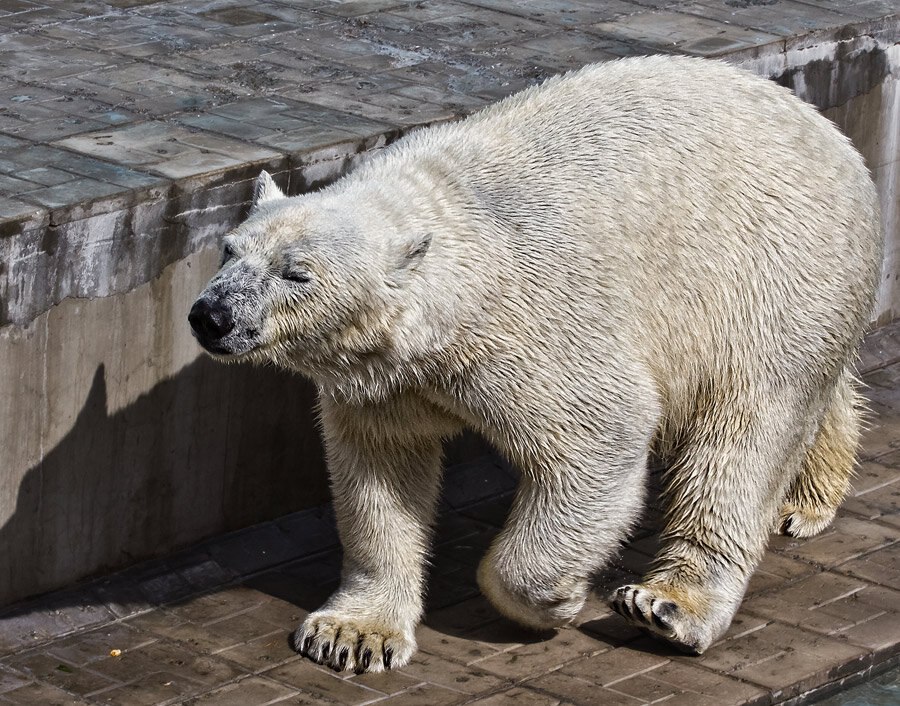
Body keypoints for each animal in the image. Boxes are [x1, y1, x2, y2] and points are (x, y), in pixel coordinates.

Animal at [186, 55, 884, 672]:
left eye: (296, 273)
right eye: (230, 249)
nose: (209, 316)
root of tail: (832, 135)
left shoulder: (531, 325)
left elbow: (601, 434)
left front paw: (556, 600)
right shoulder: (390, 379)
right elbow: (381, 471)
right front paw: (352, 635)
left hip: (773, 268)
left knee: (744, 433)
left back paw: (669, 604)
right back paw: (806, 498)